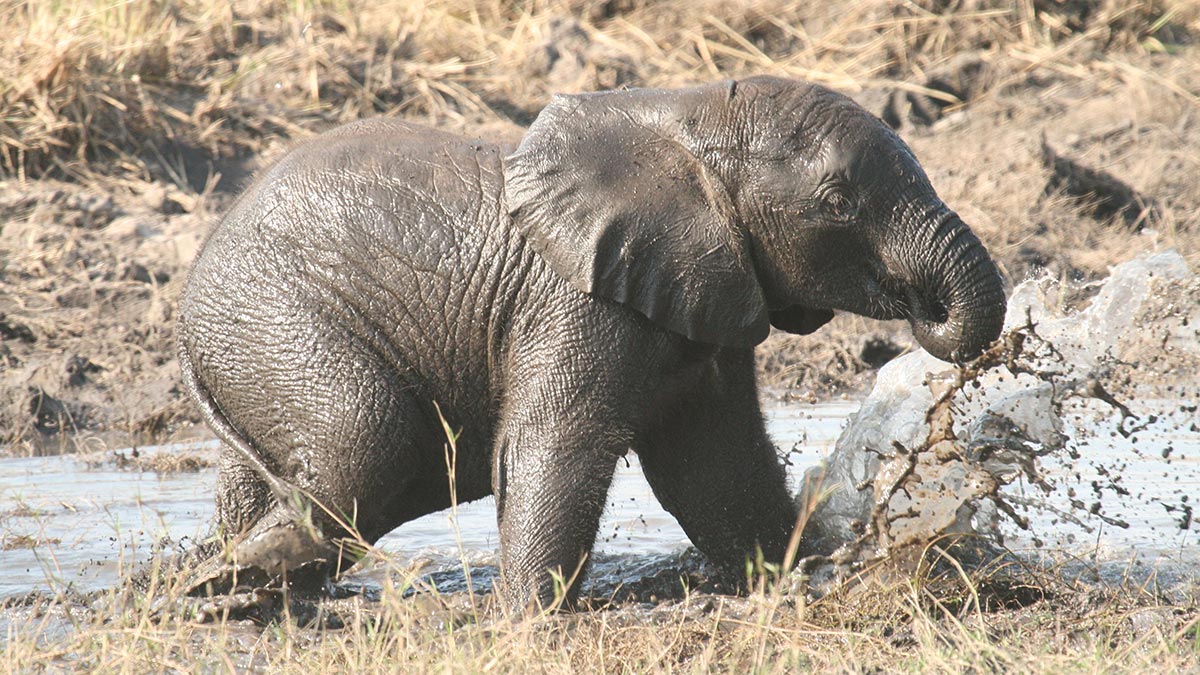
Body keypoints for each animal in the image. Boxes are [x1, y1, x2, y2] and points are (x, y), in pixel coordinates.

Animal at [175, 76, 1003, 607]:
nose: (920, 311)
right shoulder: (575, 301)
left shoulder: (701, 299)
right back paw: (219, 585)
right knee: (369, 440)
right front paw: (526, 622)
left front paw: (810, 575)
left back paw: (233, 588)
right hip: (275, 317)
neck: (687, 118)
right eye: (837, 202)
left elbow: (716, 470)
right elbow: (553, 444)